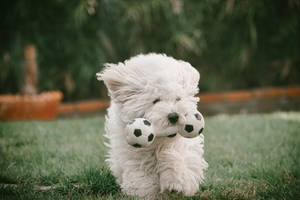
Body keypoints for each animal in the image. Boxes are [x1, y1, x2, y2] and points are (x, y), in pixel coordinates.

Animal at [96, 53, 209, 198]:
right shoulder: (133, 153)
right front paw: (145, 193)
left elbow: (177, 156)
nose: (173, 116)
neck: (158, 142)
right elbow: (141, 174)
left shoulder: (182, 145)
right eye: (155, 101)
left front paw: (176, 183)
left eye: (178, 98)